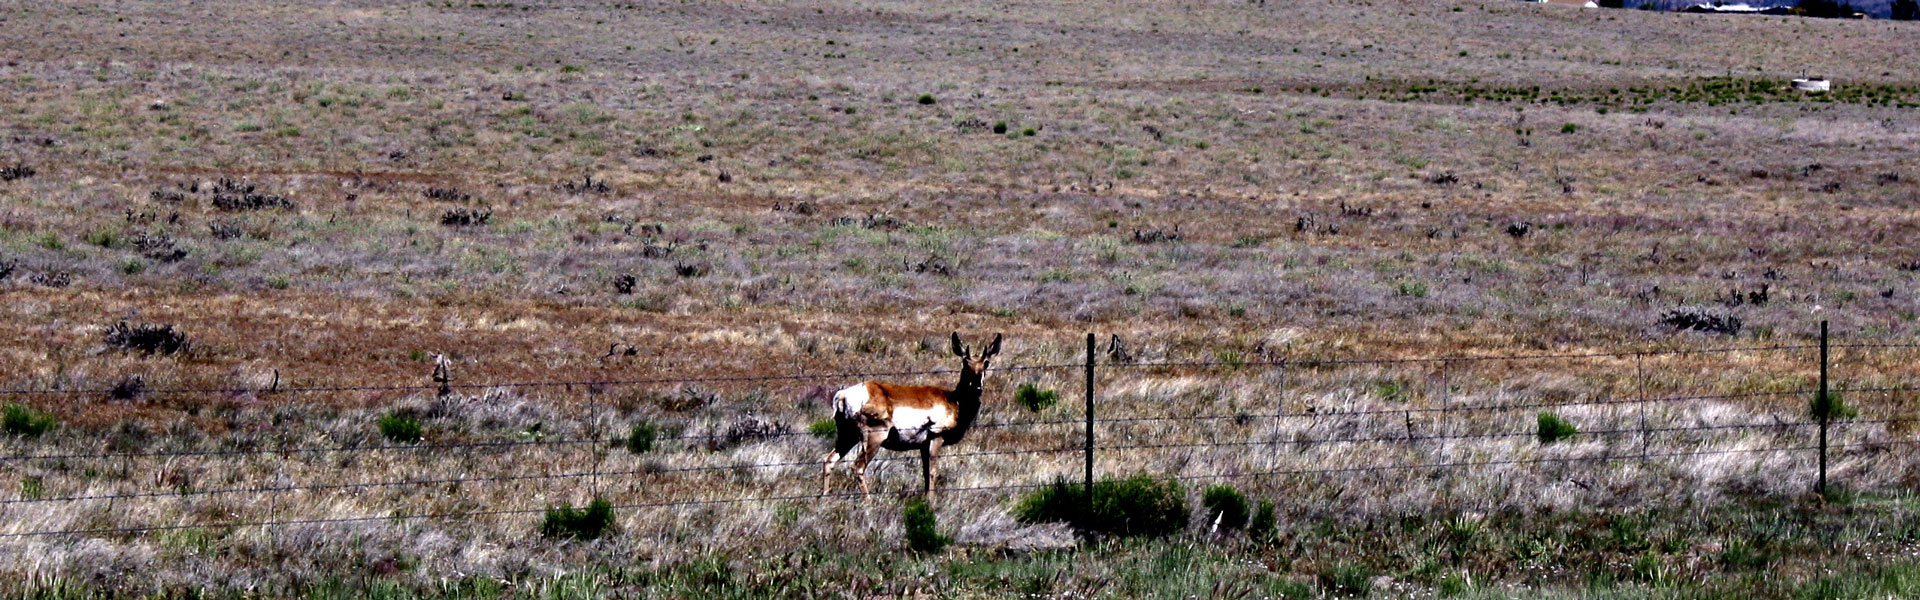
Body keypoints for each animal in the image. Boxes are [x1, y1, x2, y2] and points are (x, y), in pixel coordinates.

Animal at [821, 332, 1006, 500]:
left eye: (986, 363)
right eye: (965, 362)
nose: (977, 387)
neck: (954, 400)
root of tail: (844, 394)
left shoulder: (923, 446)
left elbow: (925, 473)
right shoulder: (936, 439)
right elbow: (932, 472)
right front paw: (930, 503)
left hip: (848, 437)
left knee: (829, 460)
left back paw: (825, 498)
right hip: (873, 438)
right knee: (858, 467)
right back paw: (868, 502)